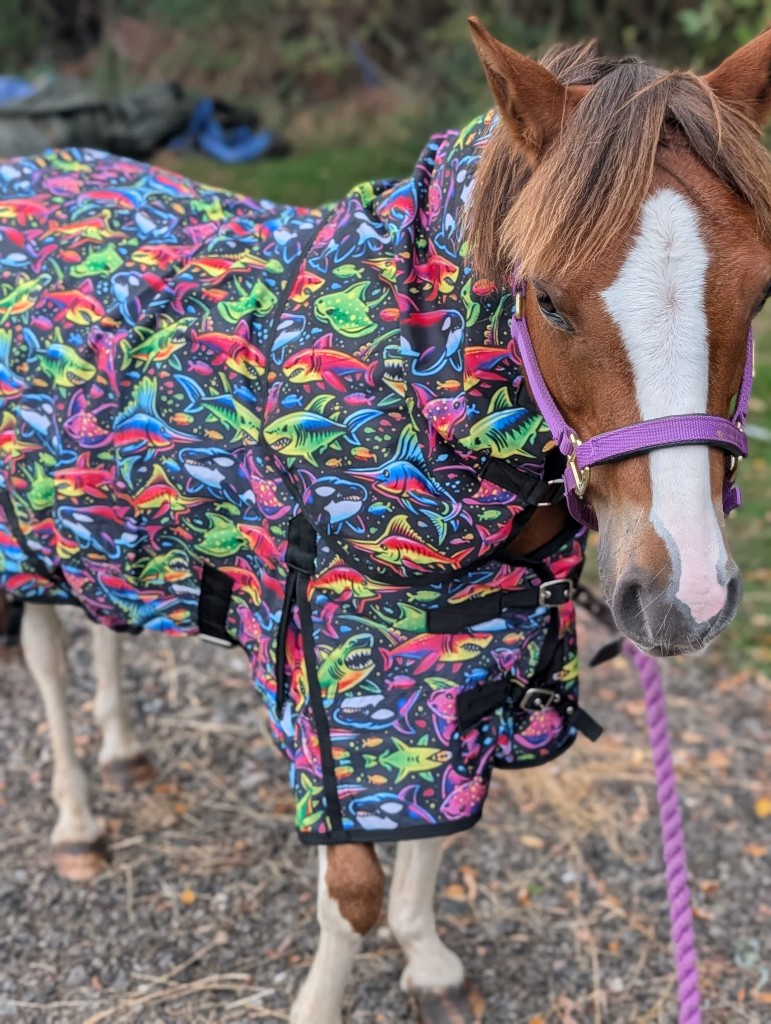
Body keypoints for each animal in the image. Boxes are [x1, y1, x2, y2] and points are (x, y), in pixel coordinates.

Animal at [1, 17, 769, 1023]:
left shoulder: (468, 664)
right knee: (47, 657)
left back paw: (125, 753)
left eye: (757, 296)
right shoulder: (329, 687)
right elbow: (352, 894)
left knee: (103, 623)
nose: (687, 595)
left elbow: (434, 832)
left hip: (93, 516)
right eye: (548, 299)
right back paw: (78, 822)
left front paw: (427, 960)